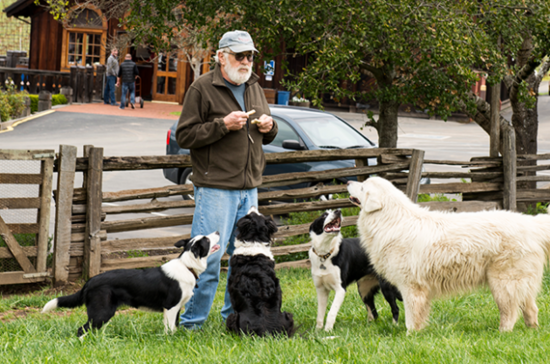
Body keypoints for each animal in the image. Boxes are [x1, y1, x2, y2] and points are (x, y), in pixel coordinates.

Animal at [42, 232, 221, 336]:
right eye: (206, 239)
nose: (218, 231)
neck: (187, 266)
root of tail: (89, 281)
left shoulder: (176, 308)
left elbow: (173, 327)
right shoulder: (171, 307)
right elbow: (170, 329)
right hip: (103, 311)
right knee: (82, 330)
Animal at [225, 206, 298, 336]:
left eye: (251, 214)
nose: (253, 206)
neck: (255, 239)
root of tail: (266, 333)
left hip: (232, 317)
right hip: (287, 316)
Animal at [350, 177, 550, 332]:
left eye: (362, 187)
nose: (349, 182)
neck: (389, 219)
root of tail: (531, 224)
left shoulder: (411, 286)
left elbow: (411, 315)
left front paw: (410, 335)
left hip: (504, 282)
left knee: (510, 311)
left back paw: (503, 332)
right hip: (520, 281)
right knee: (531, 308)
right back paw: (532, 330)